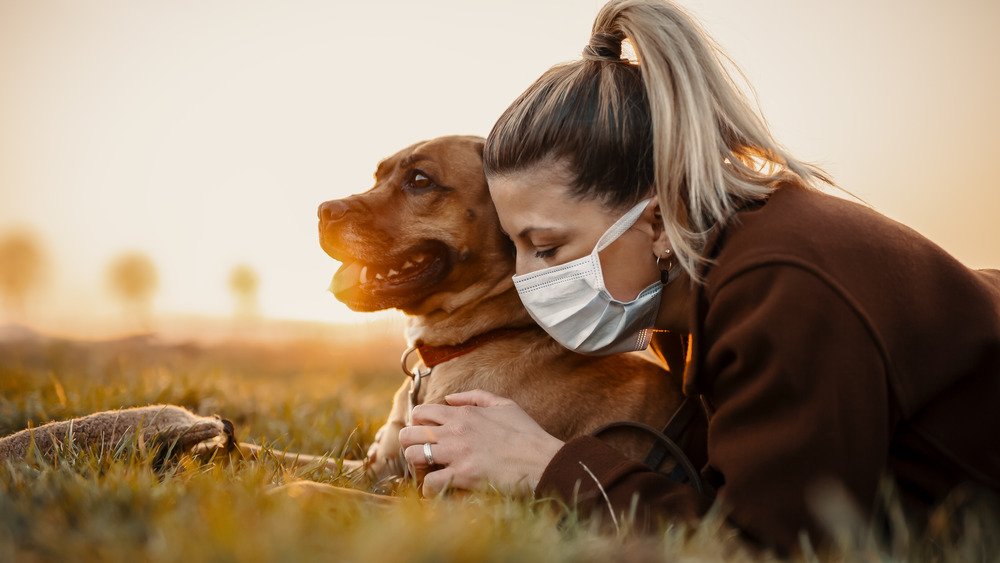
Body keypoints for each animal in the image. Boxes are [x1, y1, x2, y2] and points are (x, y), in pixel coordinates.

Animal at [308, 134, 684, 486]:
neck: (478, 338)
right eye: (377, 176)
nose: (325, 210)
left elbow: (317, 488)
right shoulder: (377, 469)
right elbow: (308, 465)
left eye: (419, 180)